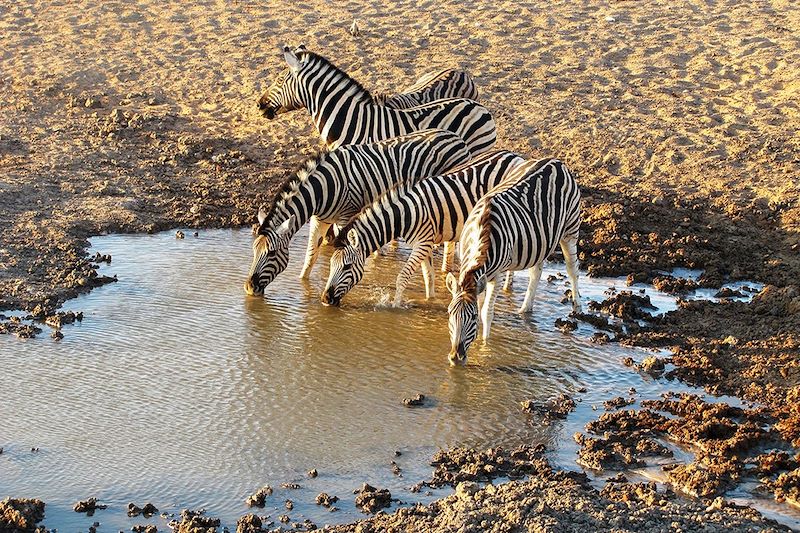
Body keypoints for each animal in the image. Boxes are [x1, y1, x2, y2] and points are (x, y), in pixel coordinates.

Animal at [241, 129, 472, 296]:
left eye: (271, 254)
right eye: (253, 251)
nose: (249, 288)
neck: (322, 189)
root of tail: (456, 137)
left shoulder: (345, 217)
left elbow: (344, 249)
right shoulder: (319, 220)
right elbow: (310, 256)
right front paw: (302, 283)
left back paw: (445, 268)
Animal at [322, 150, 528, 308]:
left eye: (347, 266)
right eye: (331, 264)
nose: (325, 299)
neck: (404, 214)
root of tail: (515, 156)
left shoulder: (422, 244)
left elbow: (403, 276)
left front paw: (395, 305)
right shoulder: (426, 243)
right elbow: (429, 276)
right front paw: (430, 300)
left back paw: (508, 286)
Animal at [444, 158, 580, 366]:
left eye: (472, 317)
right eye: (450, 313)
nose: (455, 358)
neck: (481, 233)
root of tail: (555, 161)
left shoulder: (497, 275)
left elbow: (486, 311)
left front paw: (485, 347)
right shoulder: (479, 278)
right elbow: (481, 304)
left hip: (570, 230)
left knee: (573, 270)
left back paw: (577, 306)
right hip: (541, 241)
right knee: (536, 272)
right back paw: (525, 309)